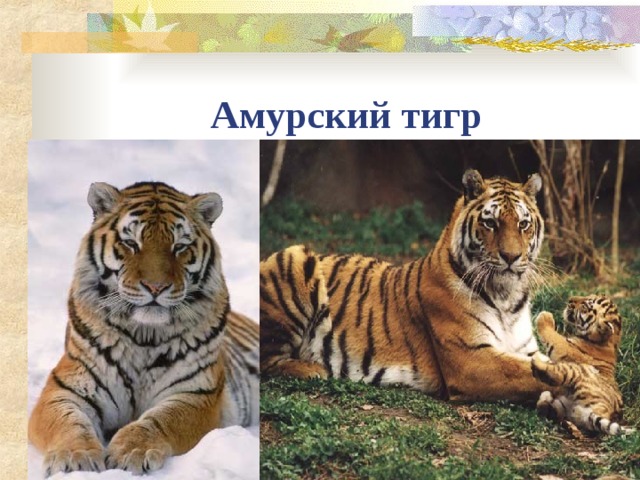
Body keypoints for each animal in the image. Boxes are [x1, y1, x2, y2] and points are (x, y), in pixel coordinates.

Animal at [28, 181, 259, 477]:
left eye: (179, 246)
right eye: (131, 243)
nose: (155, 287)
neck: (144, 336)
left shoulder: (195, 394)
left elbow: (160, 419)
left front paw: (131, 451)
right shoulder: (65, 390)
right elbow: (69, 422)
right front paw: (73, 458)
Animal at [260, 169, 553, 402]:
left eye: (523, 224)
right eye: (490, 223)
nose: (511, 257)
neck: (506, 296)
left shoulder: (525, 349)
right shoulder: (470, 359)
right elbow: (530, 374)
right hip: (295, 256)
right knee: (265, 362)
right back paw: (313, 369)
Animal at [532, 295, 632, 435]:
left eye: (586, 305)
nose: (570, 300)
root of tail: (602, 410)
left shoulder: (565, 347)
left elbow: (554, 337)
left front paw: (545, 316)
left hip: (578, 370)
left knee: (555, 374)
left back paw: (537, 363)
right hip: (564, 406)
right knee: (552, 413)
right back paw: (545, 400)